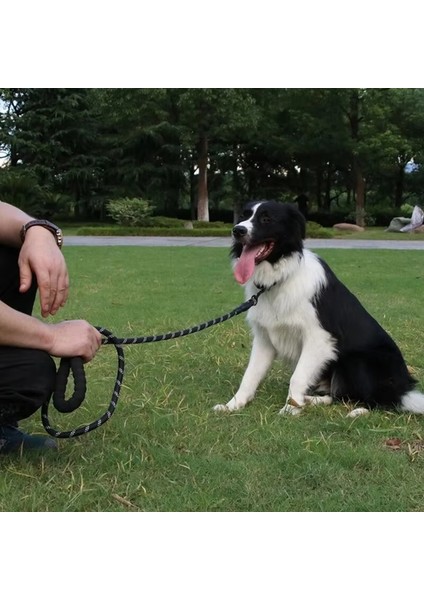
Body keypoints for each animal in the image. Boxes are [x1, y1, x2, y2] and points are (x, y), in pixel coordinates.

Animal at [214, 199, 424, 414]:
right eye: (243, 216)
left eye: (266, 219)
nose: (237, 230)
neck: (280, 278)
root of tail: (403, 388)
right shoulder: (265, 339)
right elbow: (250, 375)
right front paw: (233, 404)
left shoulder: (319, 338)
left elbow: (297, 377)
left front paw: (290, 410)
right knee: (337, 396)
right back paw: (311, 400)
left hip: (359, 361)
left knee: (378, 400)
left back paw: (358, 411)